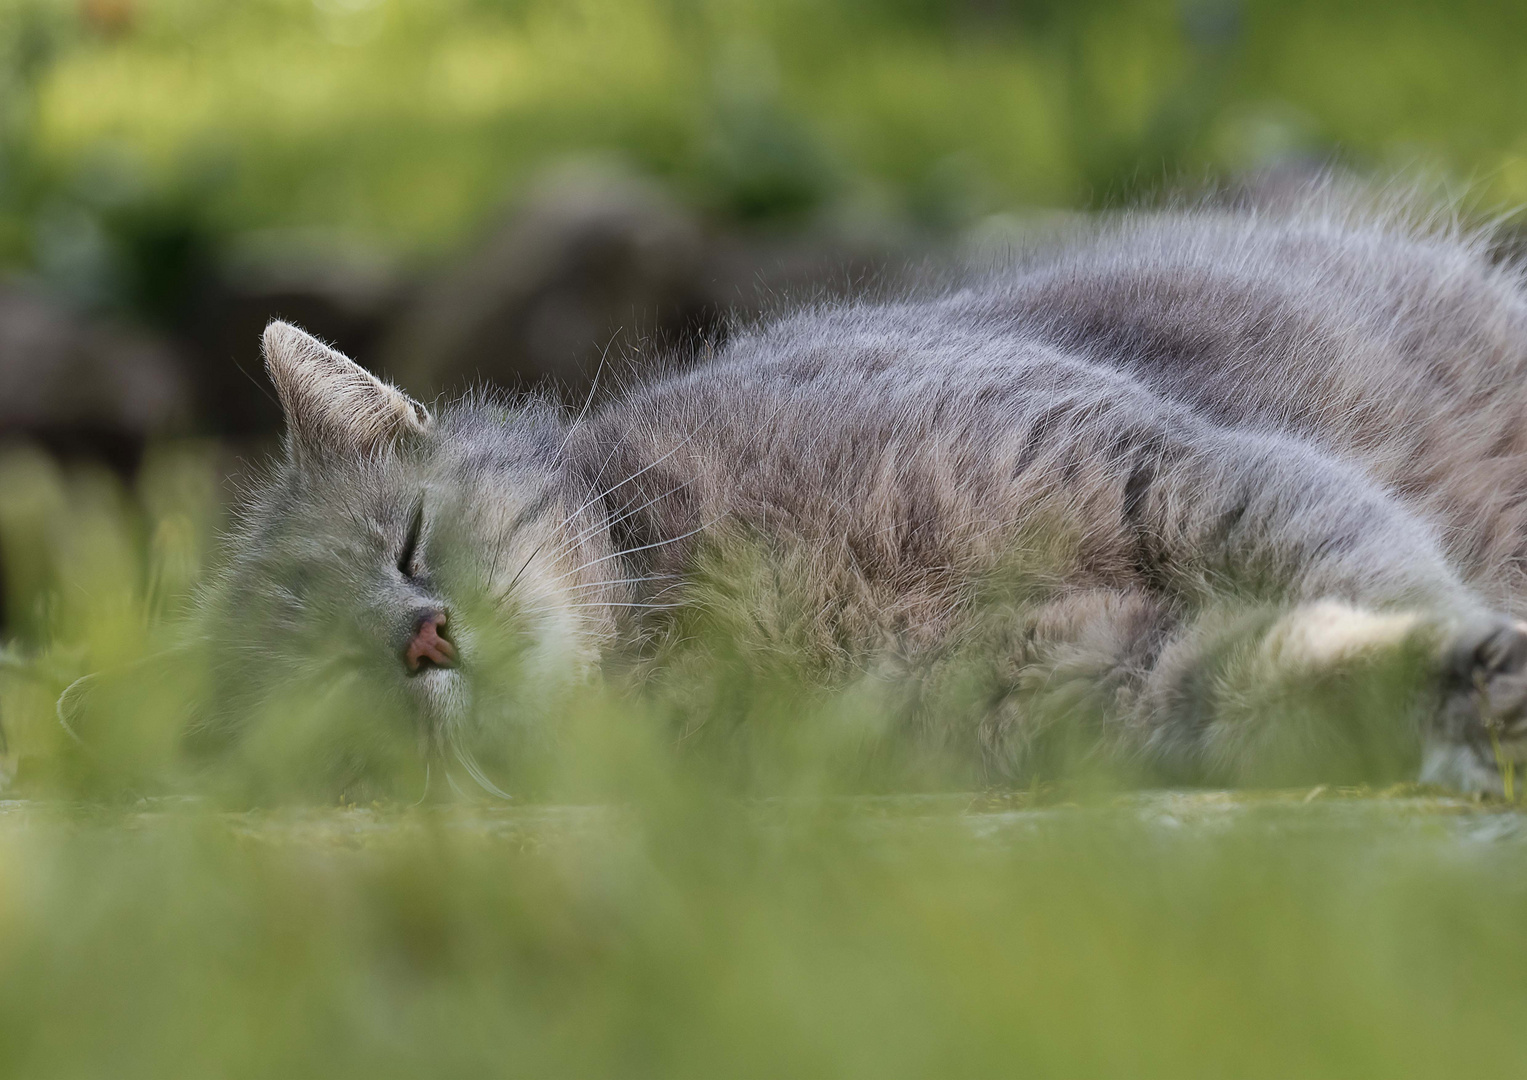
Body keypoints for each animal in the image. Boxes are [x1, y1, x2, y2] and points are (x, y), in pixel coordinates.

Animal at [206, 184, 1527, 794]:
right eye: (336, 697)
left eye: (413, 543)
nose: (426, 636)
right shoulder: (1102, 680)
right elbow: (1291, 669)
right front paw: (1452, 692)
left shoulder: (1148, 465)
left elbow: (1362, 565)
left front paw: (1475, 655)